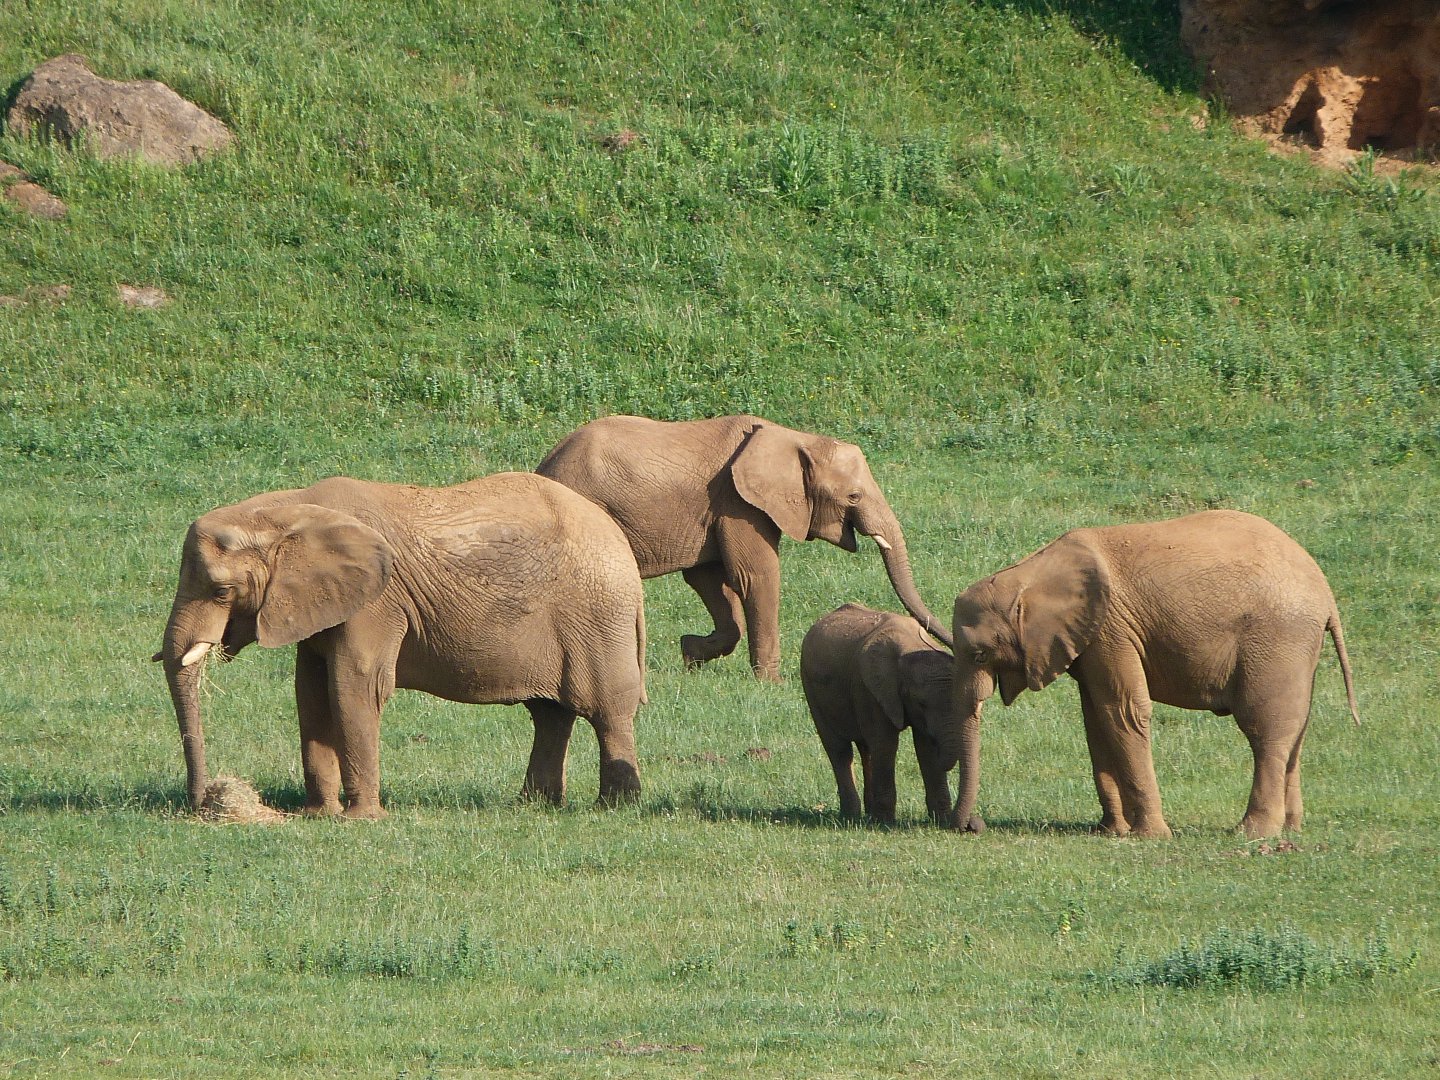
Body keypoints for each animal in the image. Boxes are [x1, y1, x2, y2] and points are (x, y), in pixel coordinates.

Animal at [158, 473, 647, 818]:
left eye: (222, 591)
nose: (202, 802)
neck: (285, 510)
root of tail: (618, 540)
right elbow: (310, 691)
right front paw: (317, 815)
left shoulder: (378, 602)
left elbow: (353, 685)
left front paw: (361, 820)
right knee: (550, 714)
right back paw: (534, 805)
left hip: (597, 613)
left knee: (606, 709)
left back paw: (614, 807)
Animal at [536, 414, 952, 682]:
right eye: (853, 496)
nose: (945, 648)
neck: (794, 438)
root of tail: (544, 465)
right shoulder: (739, 503)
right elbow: (756, 576)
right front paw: (772, 684)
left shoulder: (714, 511)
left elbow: (708, 579)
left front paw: (690, 655)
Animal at [801, 603, 983, 829]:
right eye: (921, 703)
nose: (972, 824)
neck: (910, 647)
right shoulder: (870, 689)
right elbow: (886, 743)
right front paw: (884, 824)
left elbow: (925, 748)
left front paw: (940, 820)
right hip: (811, 689)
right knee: (840, 750)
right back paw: (852, 816)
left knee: (867, 750)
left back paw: (868, 813)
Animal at [946, 509, 1359, 839]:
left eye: (980, 653)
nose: (972, 826)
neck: (1028, 573)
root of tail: (1326, 594)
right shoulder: (1092, 639)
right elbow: (1096, 719)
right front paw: (1111, 832)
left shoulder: (1111, 627)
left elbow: (1123, 712)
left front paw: (1150, 836)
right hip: (1296, 649)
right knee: (1296, 730)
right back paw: (1291, 828)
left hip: (1277, 640)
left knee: (1265, 728)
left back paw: (1252, 833)